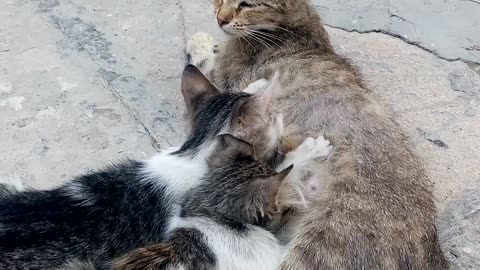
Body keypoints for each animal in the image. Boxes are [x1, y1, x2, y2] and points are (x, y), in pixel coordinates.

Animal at [186, 0, 448, 268]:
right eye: (221, 1)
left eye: (247, 5)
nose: (221, 18)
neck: (297, 25)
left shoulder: (224, 84)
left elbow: (200, 64)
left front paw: (201, 42)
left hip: (320, 242)